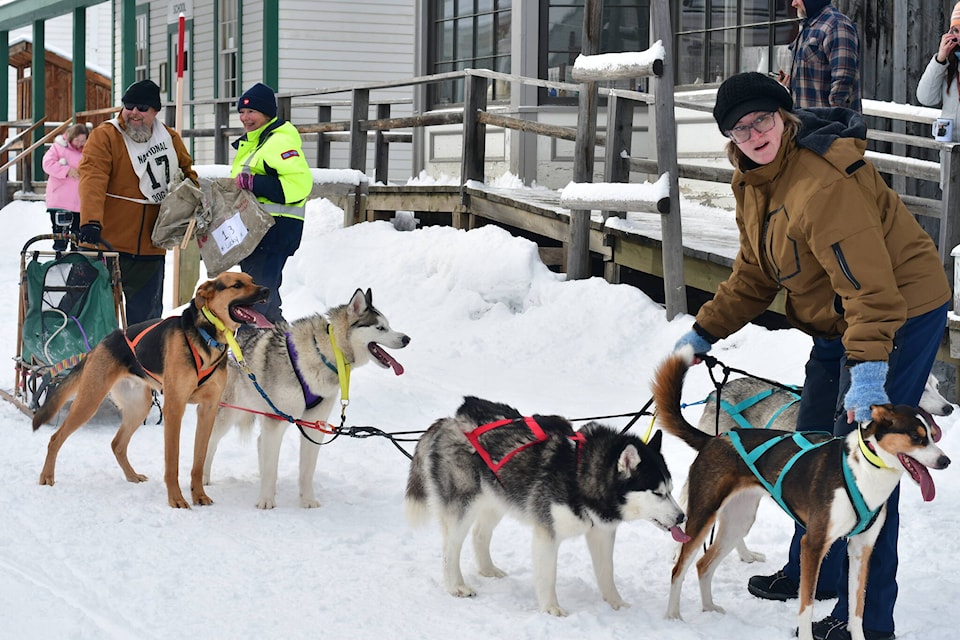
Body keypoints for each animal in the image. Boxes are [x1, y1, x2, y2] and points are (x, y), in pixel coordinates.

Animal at [33, 272, 270, 508]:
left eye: (252, 280)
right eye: (237, 285)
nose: (266, 290)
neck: (207, 336)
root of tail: (100, 344)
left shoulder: (208, 409)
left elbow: (199, 462)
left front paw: (199, 495)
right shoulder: (175, 408)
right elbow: (172, 462)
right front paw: (176, 499)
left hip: (139, 407)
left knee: (117, 444)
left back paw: (132, 476)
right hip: (89, 402)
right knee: (55, 438)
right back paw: (47, 476)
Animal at [204, 288, 406, 508]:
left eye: (388, 326)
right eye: (380, 328)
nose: (406, 338)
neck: (324, 353)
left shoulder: (314, 424)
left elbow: (307, 470)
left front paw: (307, 500)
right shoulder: (277, 419)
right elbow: (272, 467)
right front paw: (266, 500)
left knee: (260, 442)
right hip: (228, 414)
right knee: (210, 443)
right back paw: (203, 478)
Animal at [404, 396, 688, 616]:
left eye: (671, 489)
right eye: (657, 492)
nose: (682, 517)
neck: (580, 473)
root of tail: (447, 422)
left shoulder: (601, 533)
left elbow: (607, 572)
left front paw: (617, 604)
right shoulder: (547, 534)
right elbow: (548, 575)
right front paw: (551, 608)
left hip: (497, 498)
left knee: (479, 534)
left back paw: (488, 570)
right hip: (464, 505)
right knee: (450, 549)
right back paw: (456, 586)